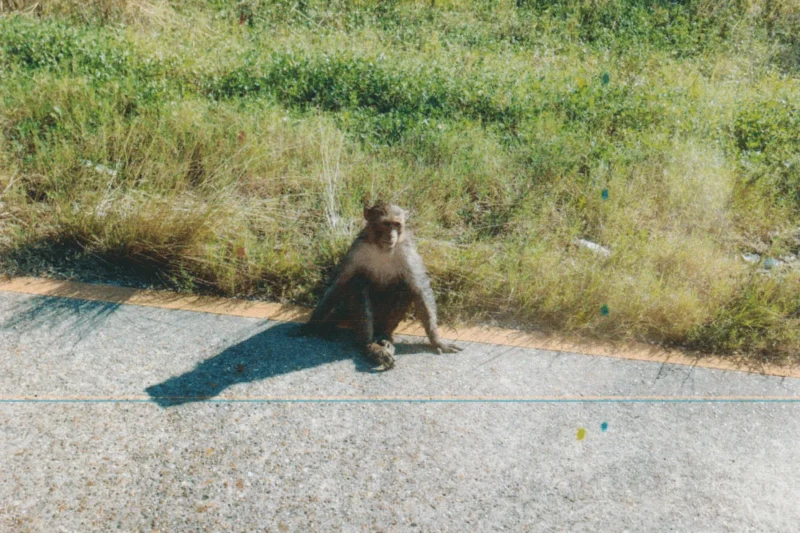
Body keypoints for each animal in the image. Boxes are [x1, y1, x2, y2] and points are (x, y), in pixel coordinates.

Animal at [296, 201, 462, 370]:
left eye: (396, 224)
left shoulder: (407, 251)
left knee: (405, 287)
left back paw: (384, 337)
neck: (382, 248)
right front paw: (311, 324)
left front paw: (436, 341)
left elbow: (419, 288)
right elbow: (339, 284)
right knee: (358, 283)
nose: (391, 235)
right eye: (386, 224)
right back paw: (370, 346)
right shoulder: (357, 249)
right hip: (350, 313)